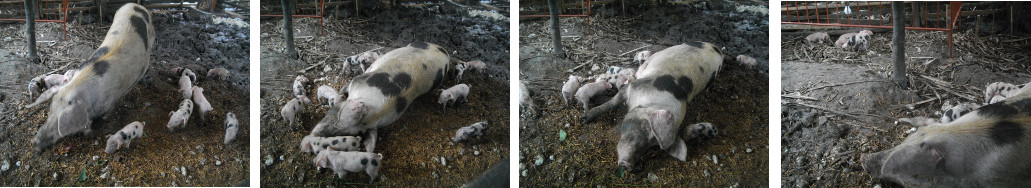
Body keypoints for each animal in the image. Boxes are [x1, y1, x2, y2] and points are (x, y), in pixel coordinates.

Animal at [31, 3, 154, 152]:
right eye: (50, 112)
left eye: (62, 122)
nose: (34, 142)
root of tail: (135, 4)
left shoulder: (108, 105)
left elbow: (98, 121)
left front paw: (89, 131)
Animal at [581, 42, 725, 171]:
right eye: (647, 128)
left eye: (653, 144)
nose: (627, 165)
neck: (647, 103)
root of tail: (716, 47)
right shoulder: (633, 87)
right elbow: (611, 103)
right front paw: (585, 118)